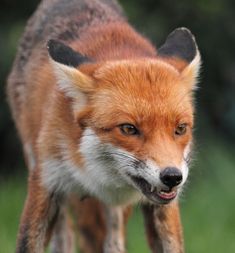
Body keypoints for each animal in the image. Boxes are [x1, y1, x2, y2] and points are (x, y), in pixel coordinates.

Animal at [7, 0, 200, 251]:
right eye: (128, 129)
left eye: (180, 129)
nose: (172, 177)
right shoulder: (46, 180)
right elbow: (29, 242)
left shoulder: (162, 207)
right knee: (64, 237)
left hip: (115, 214)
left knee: (113, 242)